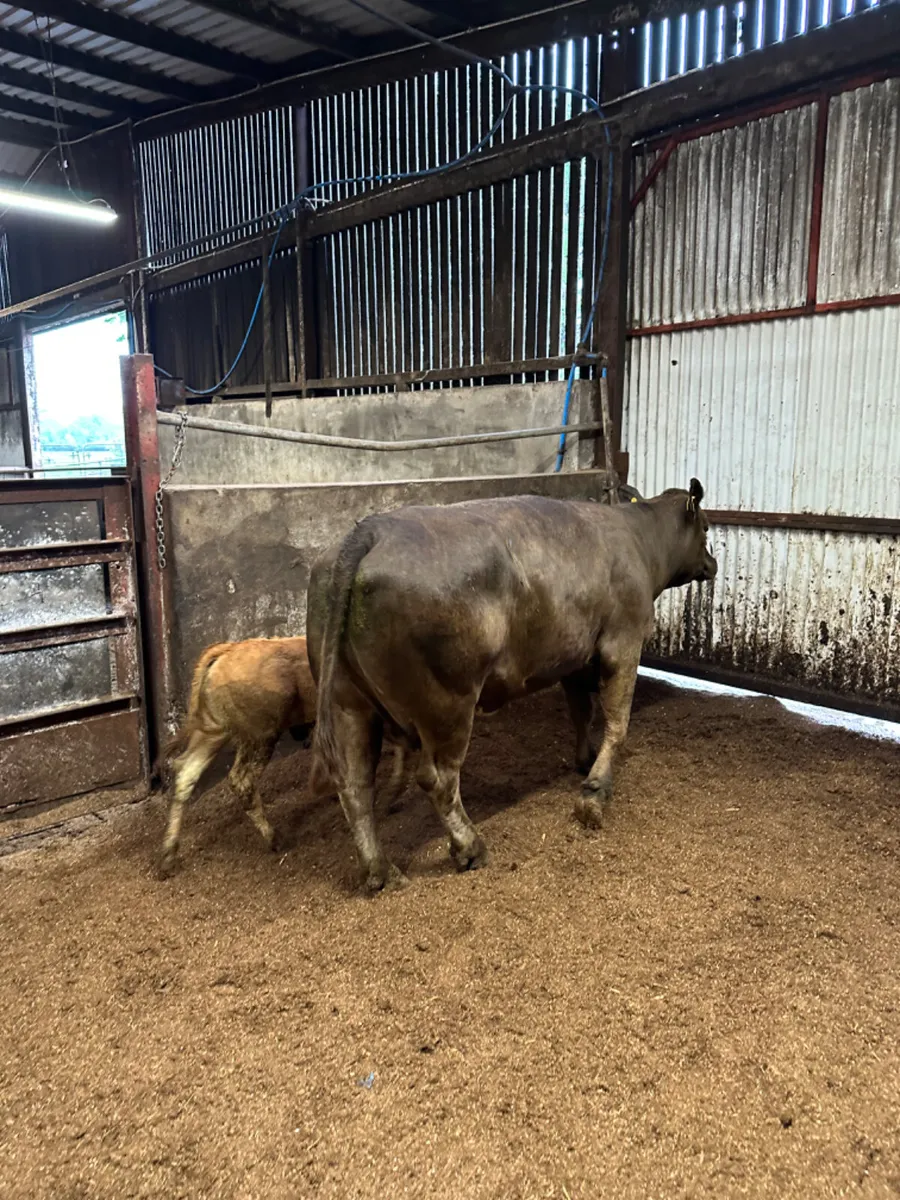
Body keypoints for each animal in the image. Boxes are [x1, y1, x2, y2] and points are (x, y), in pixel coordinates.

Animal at [159, 635, 407, 877]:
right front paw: (391, 795)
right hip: (259, 736)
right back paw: (274, 838)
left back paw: (169, 855)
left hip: (213, 733)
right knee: (241, 780)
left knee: (186, 773)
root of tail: (227, 650)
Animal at [306, 480, 717, 892]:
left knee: (355, 784)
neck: (638, 537)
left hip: (348, 702)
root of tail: (372, 529)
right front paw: (594, 794)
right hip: (447, 701)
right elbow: (617, 722)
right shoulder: (624, 641)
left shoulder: (573, 657)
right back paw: (469, 847)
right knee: (437, 778)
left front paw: (584, 760)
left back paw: (382, 872)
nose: (713, 564)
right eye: (706, 527)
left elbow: (581, 712)